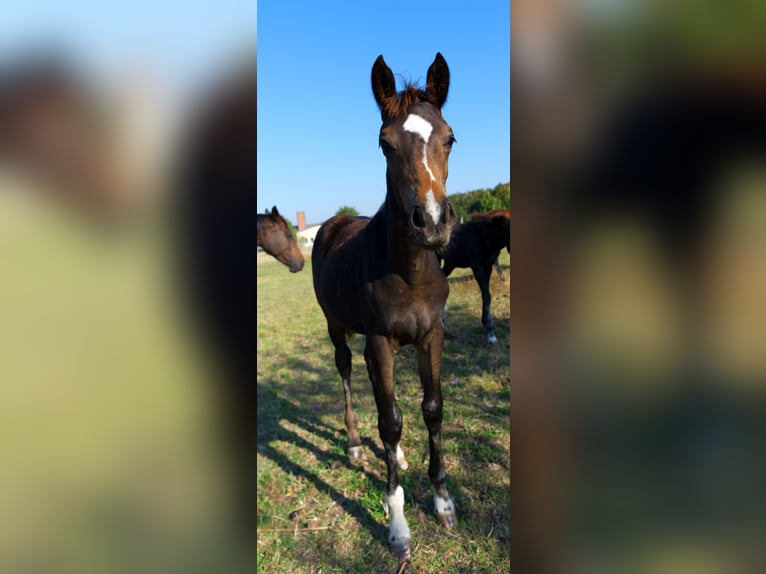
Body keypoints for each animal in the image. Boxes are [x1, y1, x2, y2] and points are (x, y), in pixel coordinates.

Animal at [314, 54, 460, 564]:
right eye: (384, 144)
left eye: (450, 138)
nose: (432, 223)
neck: (411, 271)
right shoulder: (380, 341)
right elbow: (392, 420)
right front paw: (398, 527)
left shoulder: (430, 336)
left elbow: (431, 409)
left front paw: (442, 502)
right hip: (338, 327)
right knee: (347, 373)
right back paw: (356, 444)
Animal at [438, 212, 510, 346]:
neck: (485, 236)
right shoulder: (476, 265)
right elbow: (486, 295)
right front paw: (491, 333)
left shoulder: (488, 266)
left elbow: (486, 295)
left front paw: (485, 323)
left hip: (450, 264)